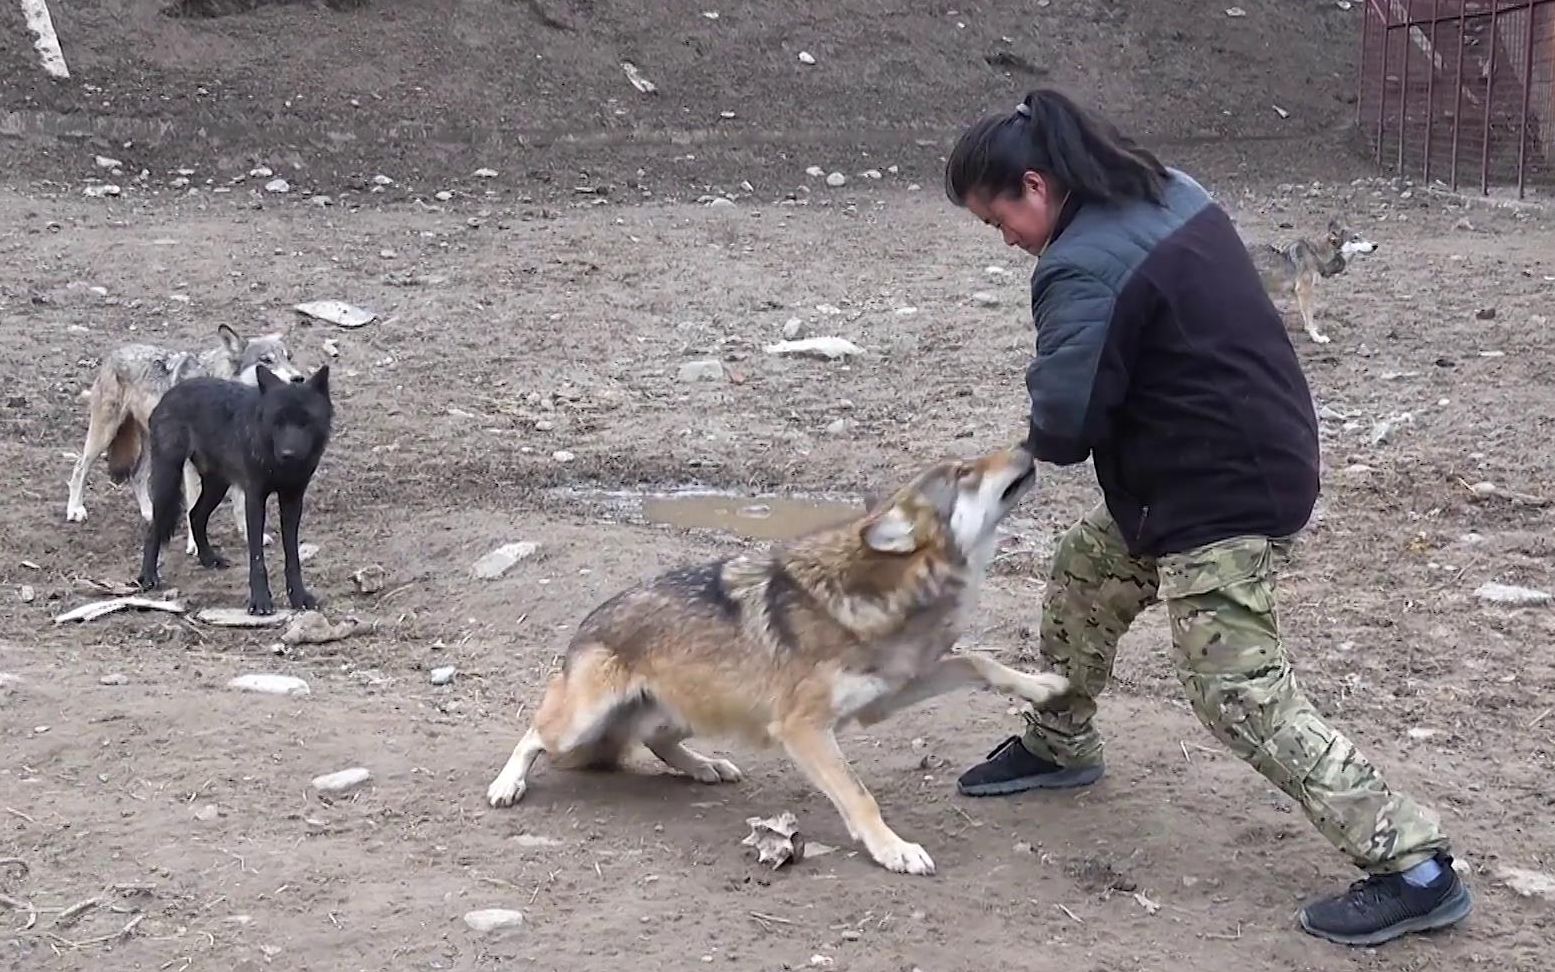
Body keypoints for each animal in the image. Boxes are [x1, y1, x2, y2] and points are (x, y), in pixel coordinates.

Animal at [139, 363, 334, 612]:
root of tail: (170, 393)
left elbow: (293, 557)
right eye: (277, 422)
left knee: (195, 515)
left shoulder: (292, 500)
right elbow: (257, 557)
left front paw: (299, 597)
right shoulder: (254, 498)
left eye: (305, 421)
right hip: (169, 482)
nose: (287, 454)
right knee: (155, 528)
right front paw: (260, 601)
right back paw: (148, 577)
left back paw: (209, 559)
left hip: (217, 486)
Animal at [485, 444, 1069, 877]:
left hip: (698, 711)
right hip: (583, 723)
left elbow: (979, 663)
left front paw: (1045, 686)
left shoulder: (888, 695)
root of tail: (586, 627)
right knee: (533, 732)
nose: (1027, 442)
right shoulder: (802, 727)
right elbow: (859, 796)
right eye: (964, 472)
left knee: (656, 742)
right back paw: (507, 785)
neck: (890, 591)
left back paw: (707, 767)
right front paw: (894, 850)